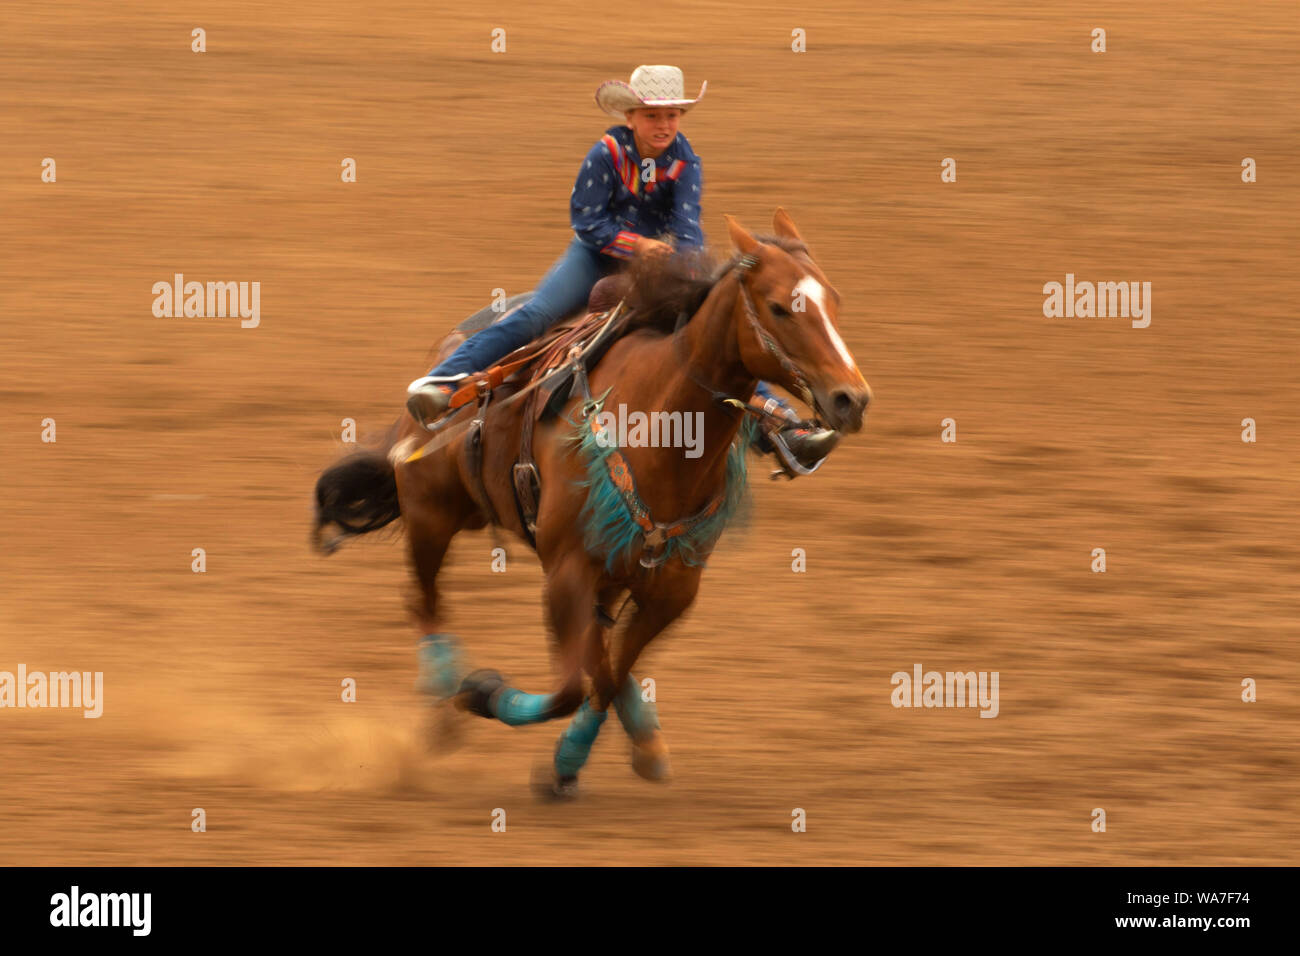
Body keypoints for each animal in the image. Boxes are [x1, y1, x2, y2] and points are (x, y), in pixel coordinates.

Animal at [309, 208, 868, 790]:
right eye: (779, 307)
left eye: (834, 301)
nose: (851, 400)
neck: (659, 430)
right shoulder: (567, 573)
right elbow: (574, 684)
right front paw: (485, 692)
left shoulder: (671, 589)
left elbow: (608, 673)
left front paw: (584, 754)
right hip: (430, 515)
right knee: (423, 602)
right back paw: (444, 706)